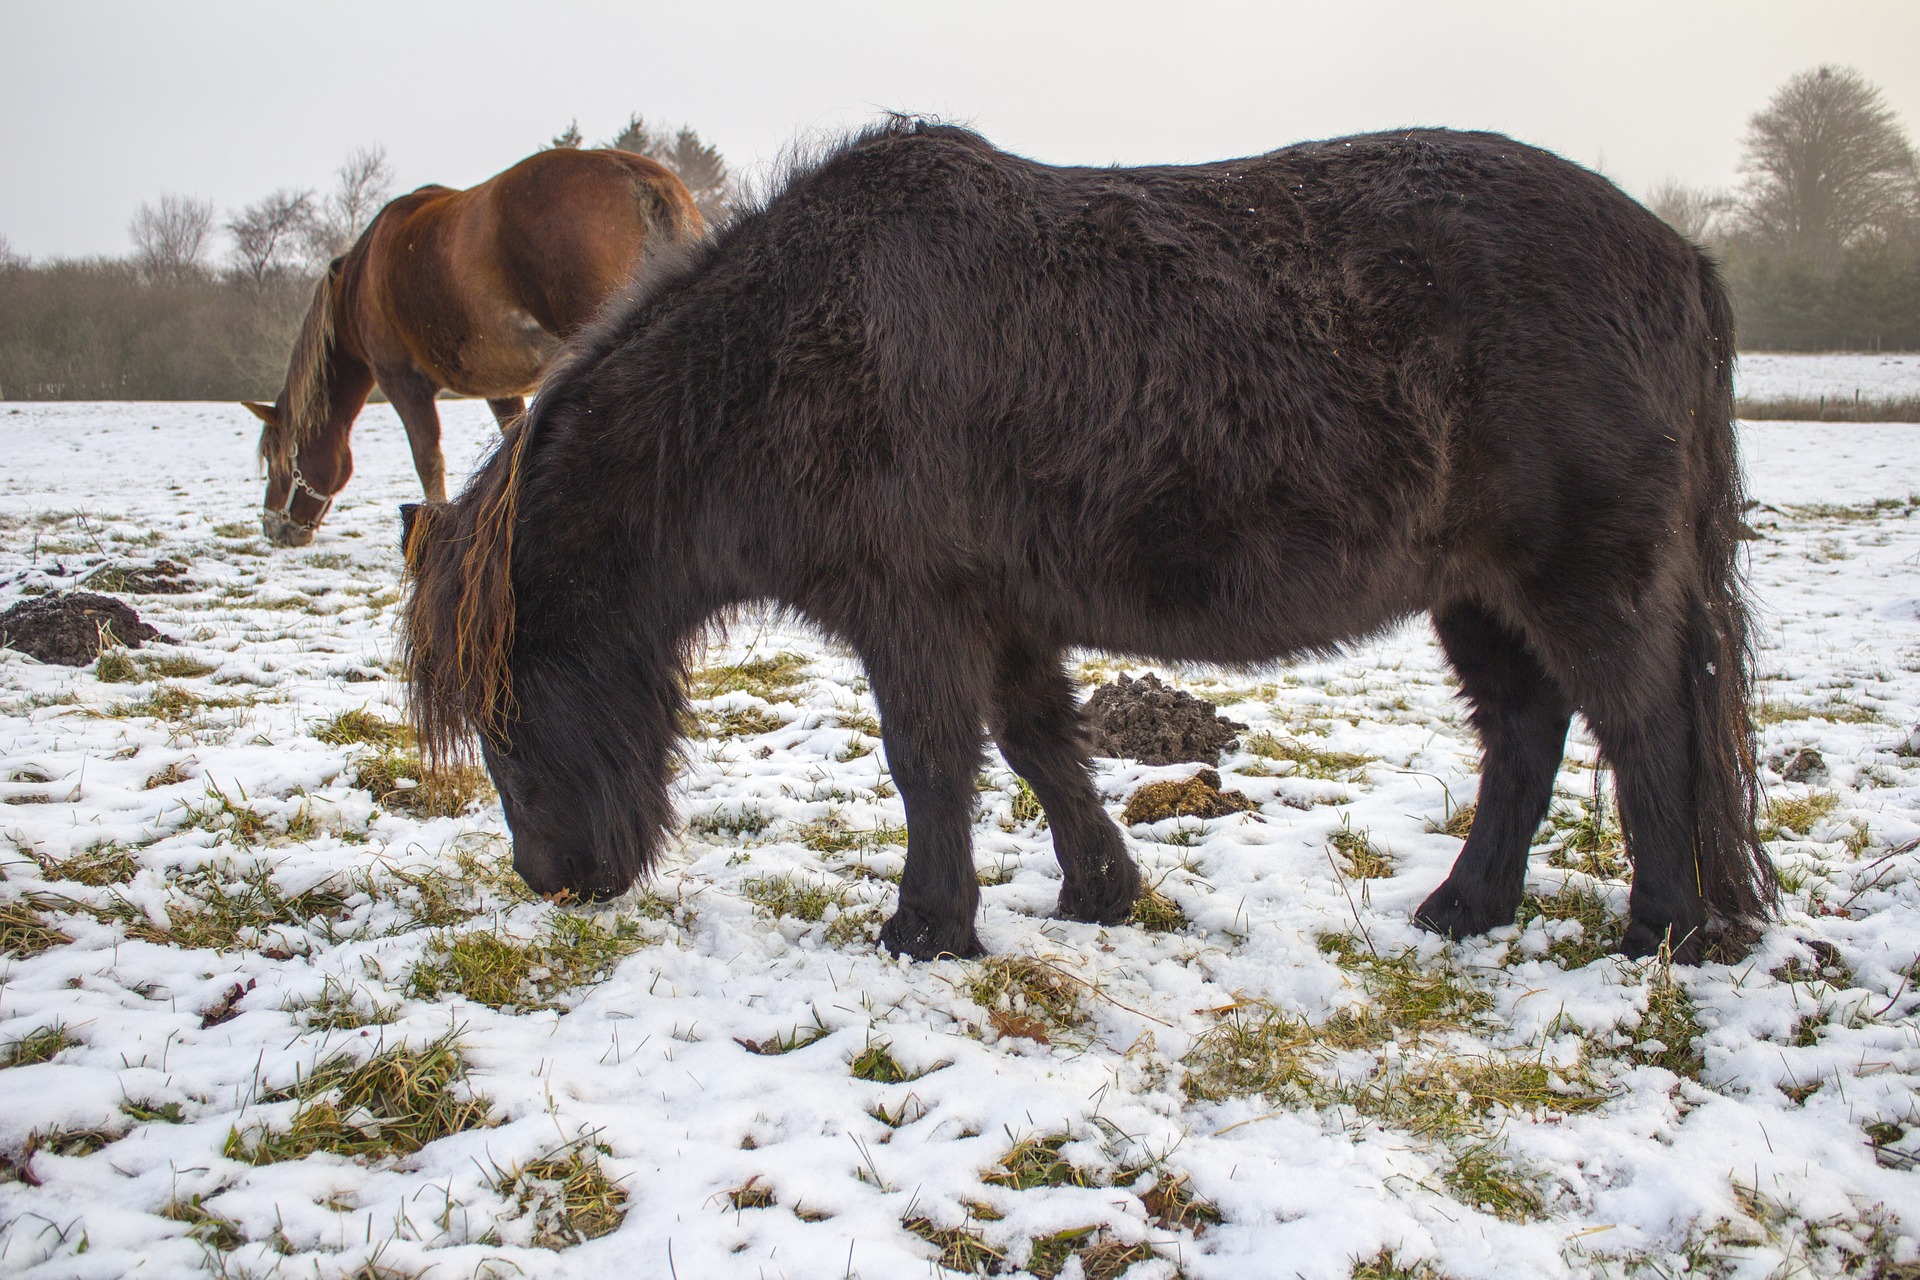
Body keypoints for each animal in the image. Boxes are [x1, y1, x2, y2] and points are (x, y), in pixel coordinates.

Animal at [243, 146, 702, 545]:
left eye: (278, 461)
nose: (274, 528)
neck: (360, 280)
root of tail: (639, 177)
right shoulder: (500, 387)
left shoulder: (402, 382)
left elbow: (428, 459)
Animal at [397, 122, 1774, 959]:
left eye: (508, 706)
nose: (553, 876)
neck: (789, 353)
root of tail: (1681, 260)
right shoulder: (1000, 609)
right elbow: (1042, 745)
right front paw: (1102, 891)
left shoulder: (916, 609)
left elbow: (929, 760)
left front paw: (925, 927)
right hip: (1479, 593)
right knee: (1526, 730)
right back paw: (1466, 908)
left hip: (1587, 576)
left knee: (1643, 726)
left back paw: (1660, 928)